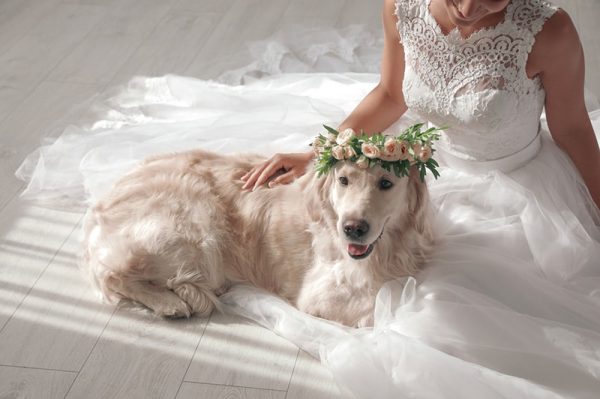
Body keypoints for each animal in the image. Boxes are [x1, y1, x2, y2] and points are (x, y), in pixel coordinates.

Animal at [82, 148, 434, 326]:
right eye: (343, 180)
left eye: (386, 183)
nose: (352, 228)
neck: (388, 249)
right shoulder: (317, 296)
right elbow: (372, 311)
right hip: (196, 229)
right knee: (113, 275)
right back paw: (169, 303)